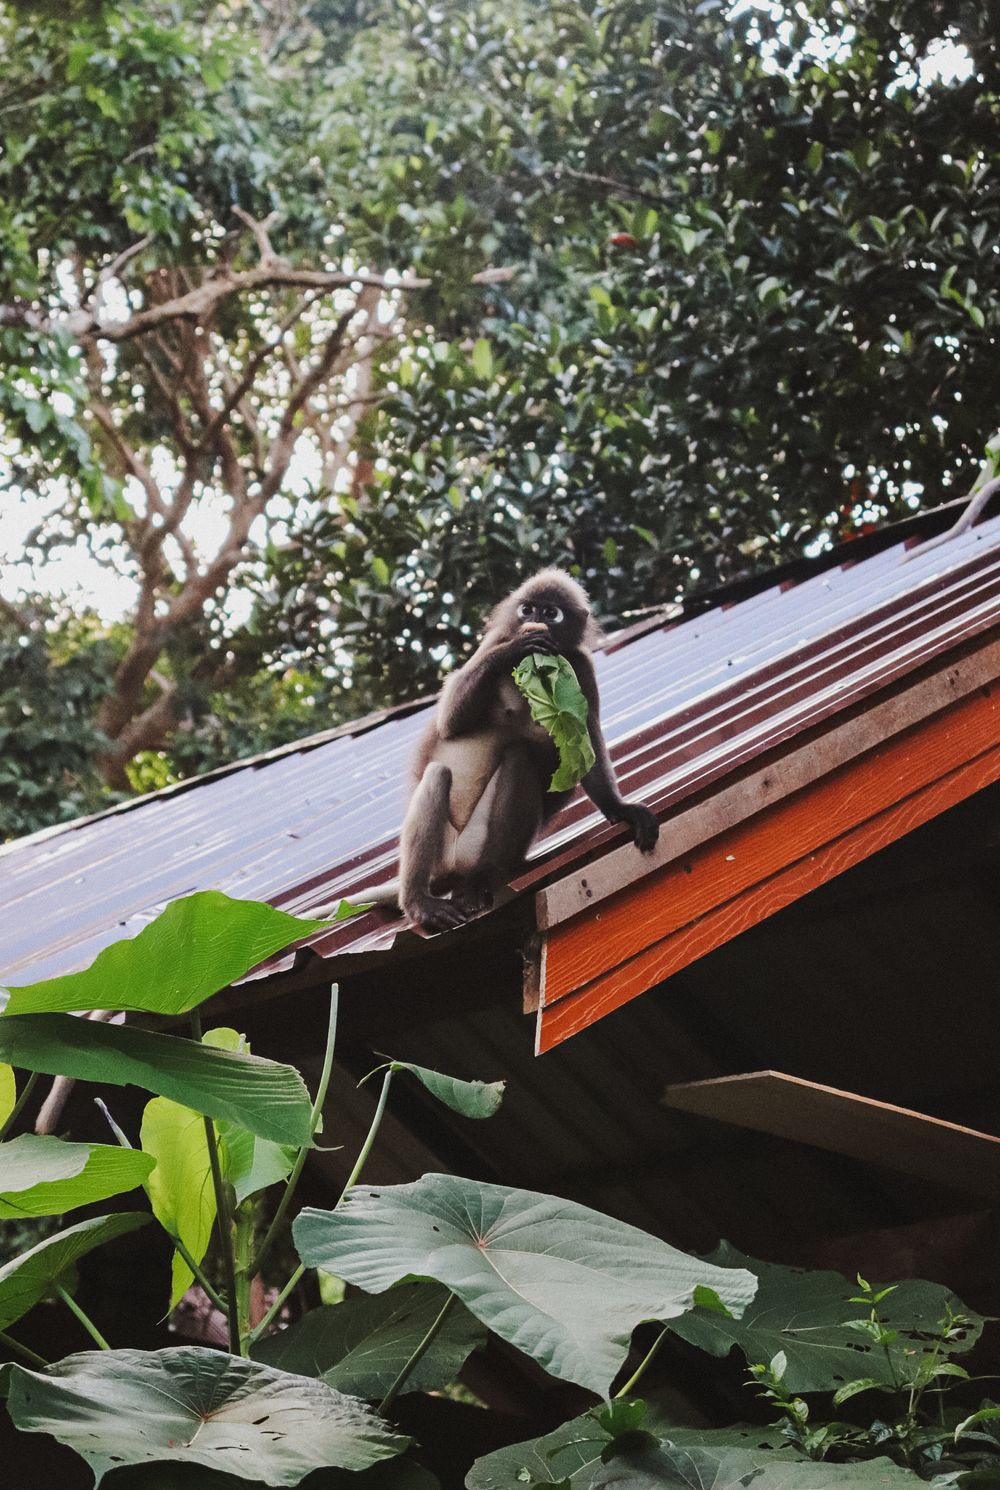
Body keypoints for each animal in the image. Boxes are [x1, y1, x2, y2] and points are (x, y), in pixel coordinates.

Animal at [393, 568, 659, 934]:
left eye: (551, 613)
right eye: (528, 609)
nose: (534, 620)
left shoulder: (581, 667)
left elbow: (585, 743)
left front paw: (621, 808)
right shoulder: (492, 642)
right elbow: (449, 723)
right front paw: (514, 648)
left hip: (481, 848)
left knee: (520, 757)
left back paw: (482, 879)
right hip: (444, 854)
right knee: (437, 774)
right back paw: (419, 904)